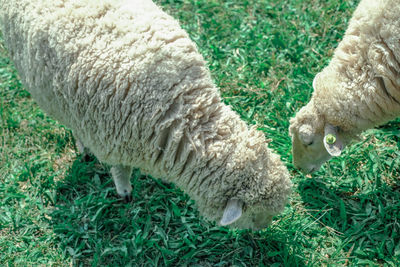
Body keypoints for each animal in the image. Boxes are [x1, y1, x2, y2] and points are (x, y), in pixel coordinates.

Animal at [0, 0, 290, 230]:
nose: (261, 231)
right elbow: (120, 169)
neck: (181, 112)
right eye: (256, 214)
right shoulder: (110, 137)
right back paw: (83, 148)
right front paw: (125, 191)